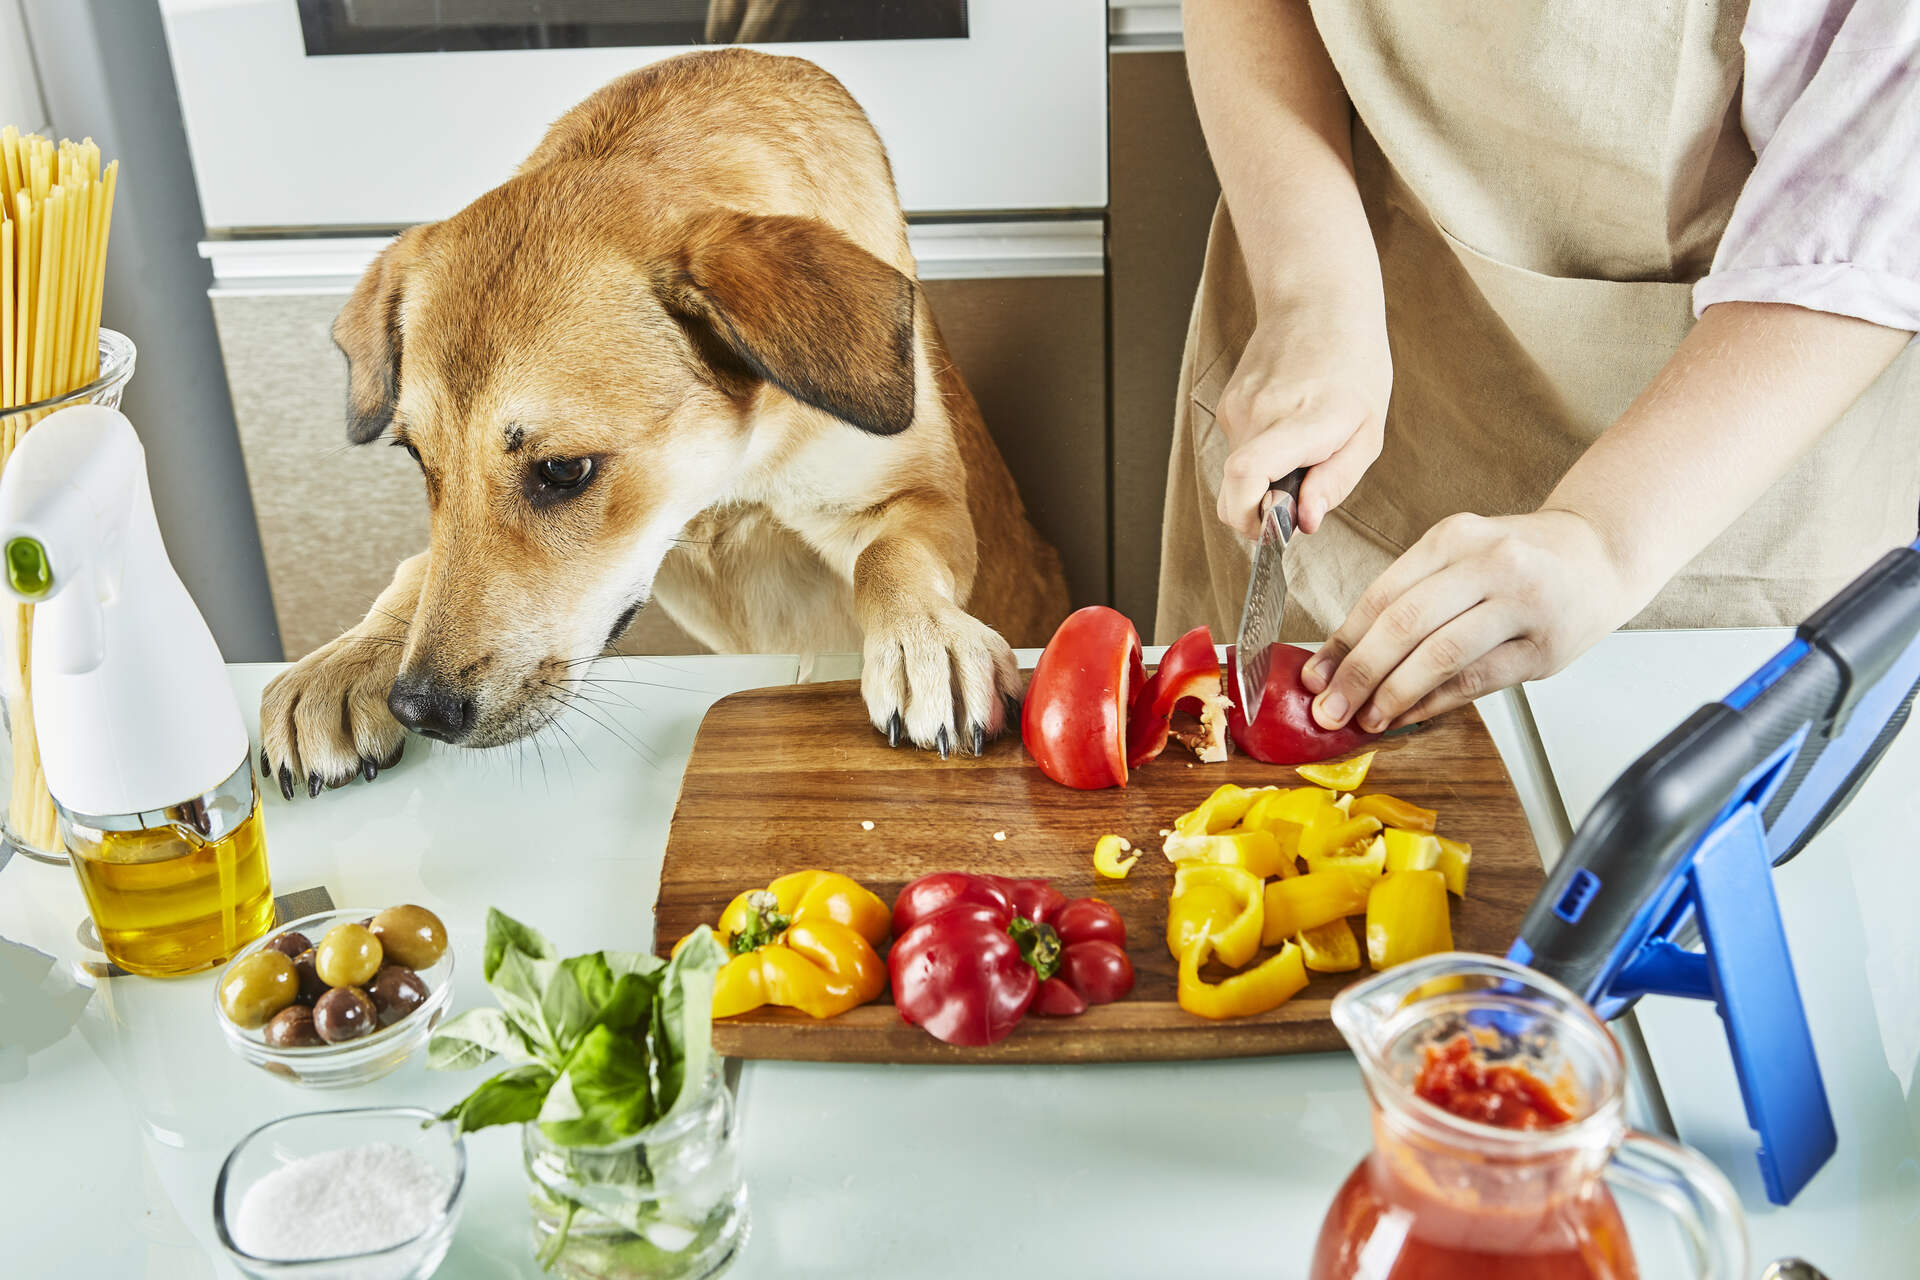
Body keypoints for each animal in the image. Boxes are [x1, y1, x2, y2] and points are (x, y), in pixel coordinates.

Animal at [259, 47, 1067, 790]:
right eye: (419, 462)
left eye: (564, 470)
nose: (420, 709)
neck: (725, 488)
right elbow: (419, 567)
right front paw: (347, 659)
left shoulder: (916, 497)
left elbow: (888, 559)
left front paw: (925, 639)